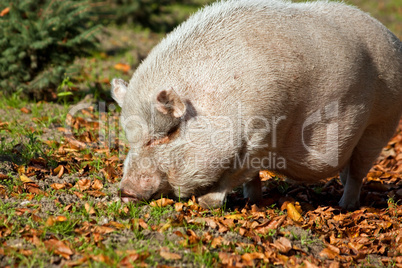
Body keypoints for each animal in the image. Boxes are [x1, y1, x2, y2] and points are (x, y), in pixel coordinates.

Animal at [111, 0, 402, 210]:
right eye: (130, 137)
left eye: (169, 132)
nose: (125, 191)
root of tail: (394, 39)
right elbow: (249, 178)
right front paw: (251, 201)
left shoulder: (263, 137)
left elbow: (237, 174)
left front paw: (207, 203)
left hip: (380, 126)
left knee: (358, 173)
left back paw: (344, 206)